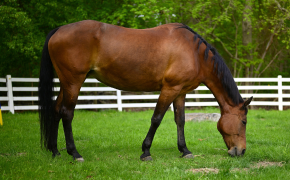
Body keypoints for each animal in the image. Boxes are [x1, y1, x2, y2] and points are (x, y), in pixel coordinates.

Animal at [38, 20, 251, 162]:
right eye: (243, 121)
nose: (241, 151)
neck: (195, 53)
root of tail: (59, 30)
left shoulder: (180, 92)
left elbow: (180, 120)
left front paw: (185, 150)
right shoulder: (169, 89)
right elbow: (156, 119)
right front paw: (146, 152)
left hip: (66, 83)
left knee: (56, 111)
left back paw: (55, 151)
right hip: (74, 82)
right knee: (67, 114)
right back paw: (75, 154)